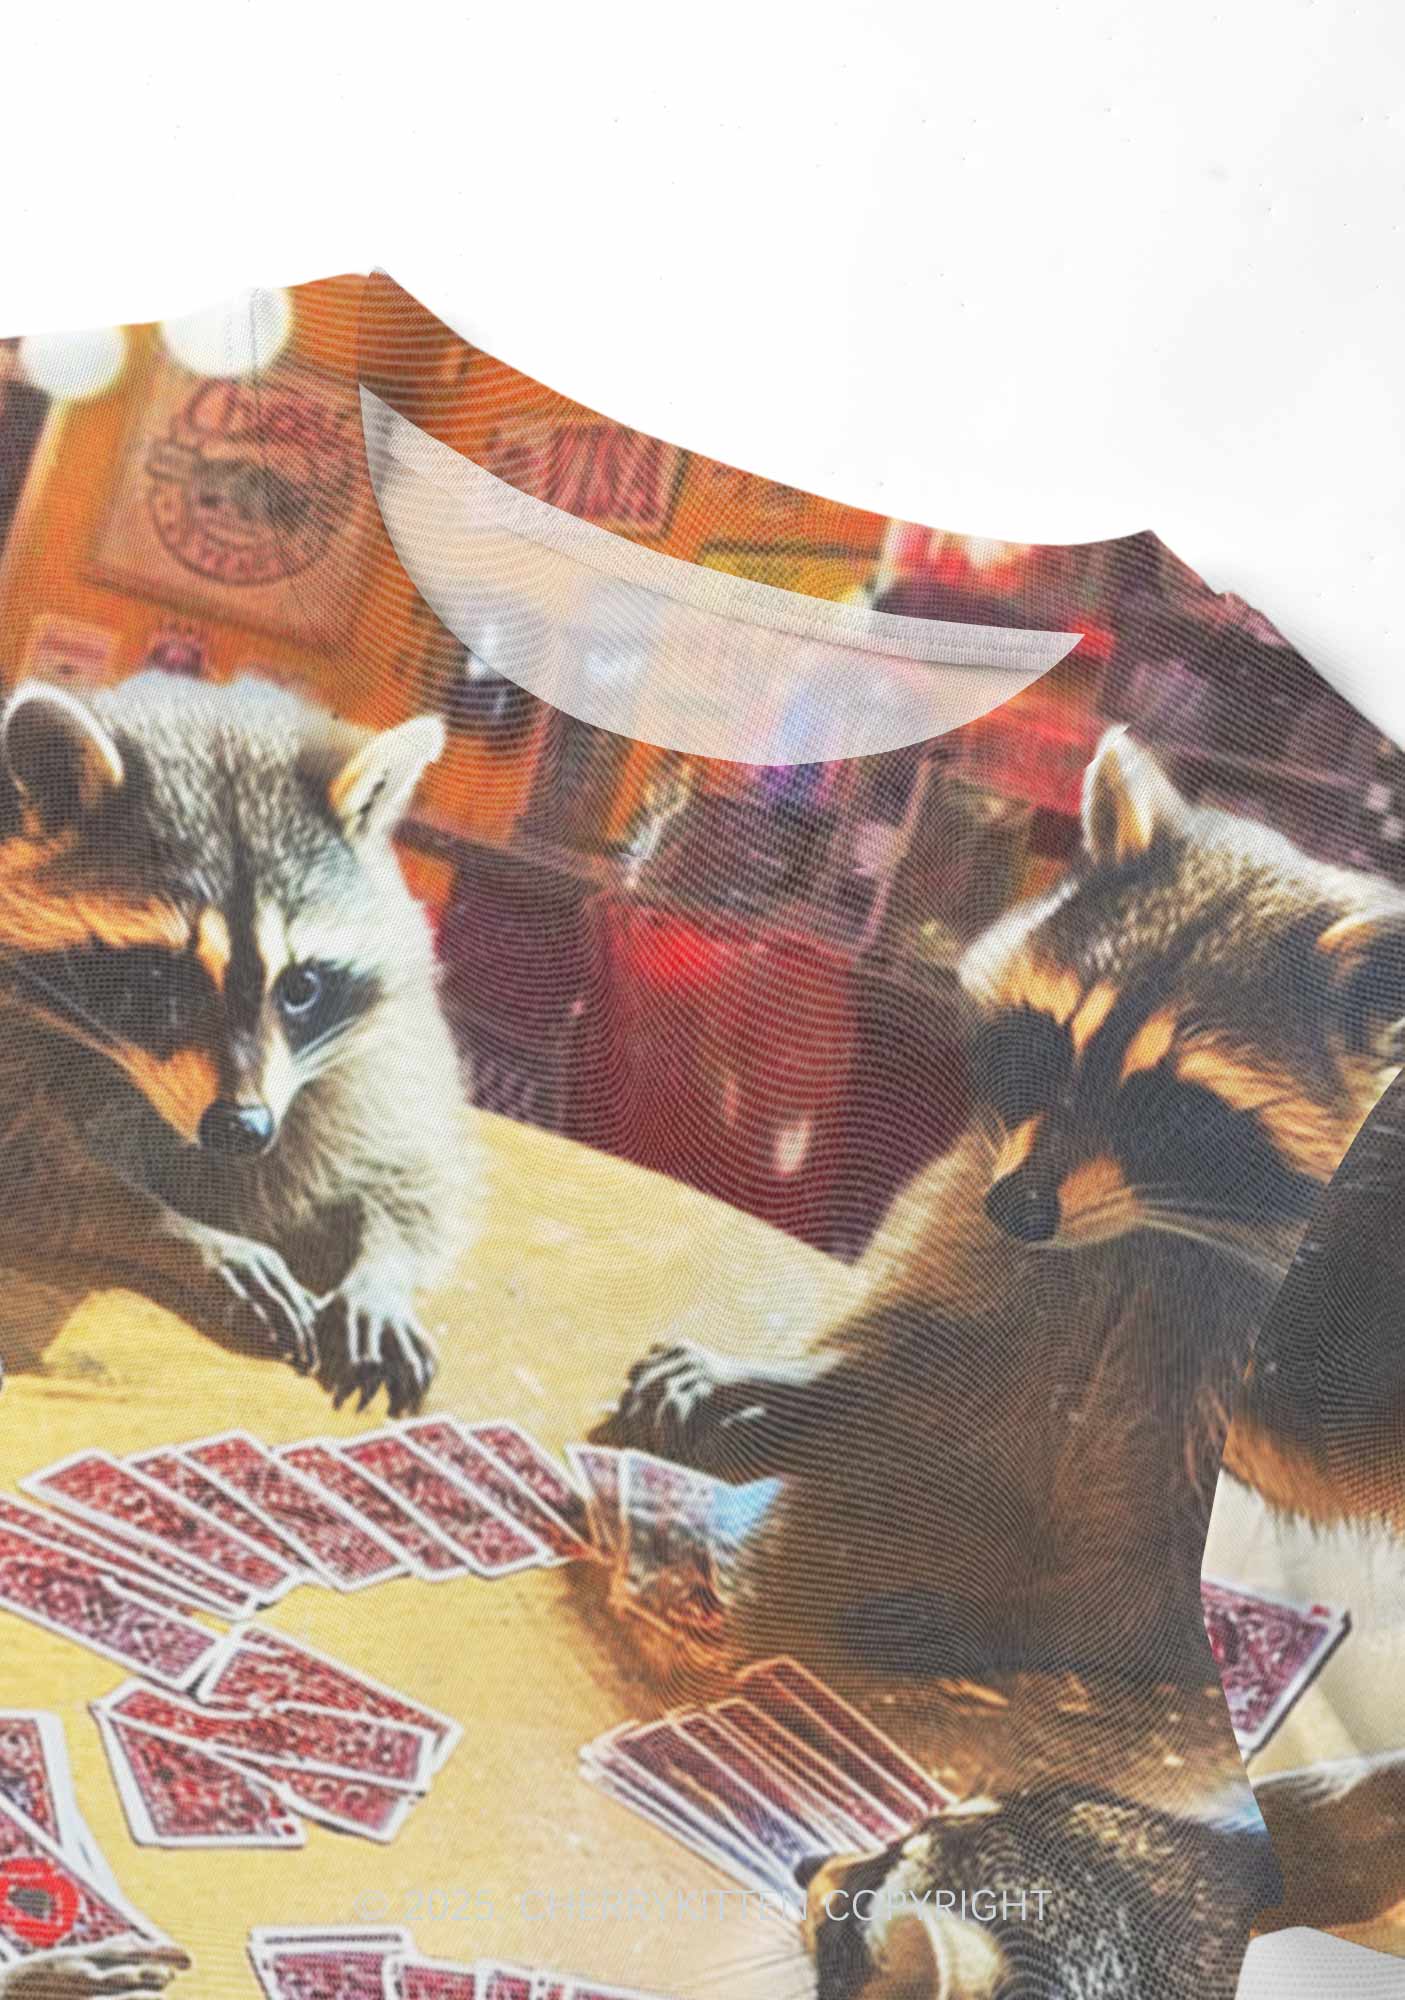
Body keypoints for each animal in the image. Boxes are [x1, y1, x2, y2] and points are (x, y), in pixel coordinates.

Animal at [0, 672, 469, 1415]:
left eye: (301, 987)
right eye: (159, 977)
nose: (242, 1127)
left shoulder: (383, 1048)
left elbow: (413, 1165)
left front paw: (382, 1269)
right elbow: (41, 1173)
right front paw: (182, 1230)